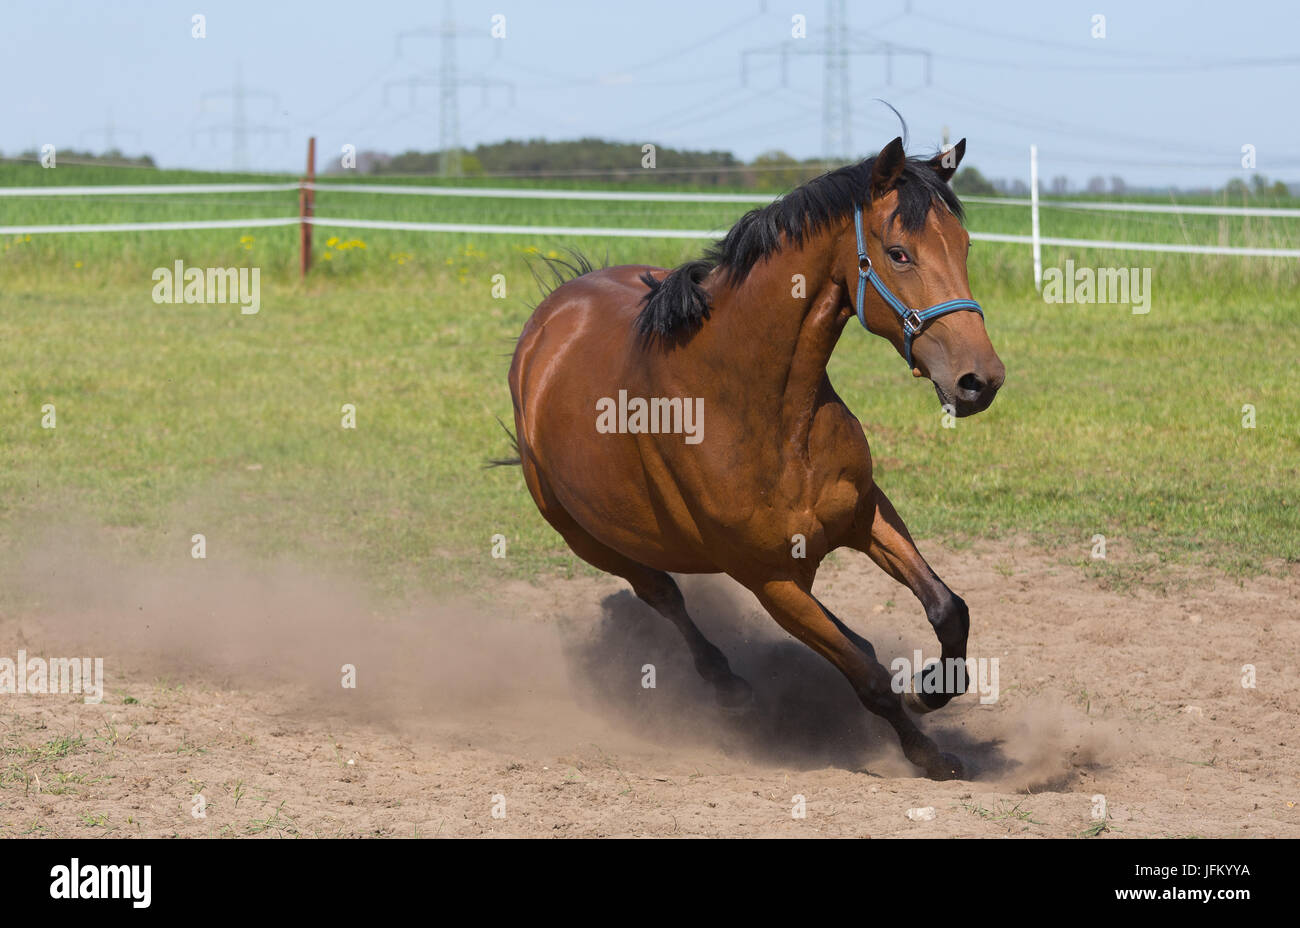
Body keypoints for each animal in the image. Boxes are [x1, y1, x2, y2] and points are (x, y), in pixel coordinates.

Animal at [506, 135, 1003, 774]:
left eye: (964, 247)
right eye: (898, 254)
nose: (980, 380)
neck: (763, 411)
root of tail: (551, 316)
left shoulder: (865, 512)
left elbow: (948, 609)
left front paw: (929, 691)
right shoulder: (772, 581)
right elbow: (866, 673)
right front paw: (929, 753)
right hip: (586, 537)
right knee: (661, 593)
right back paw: (726, 685)